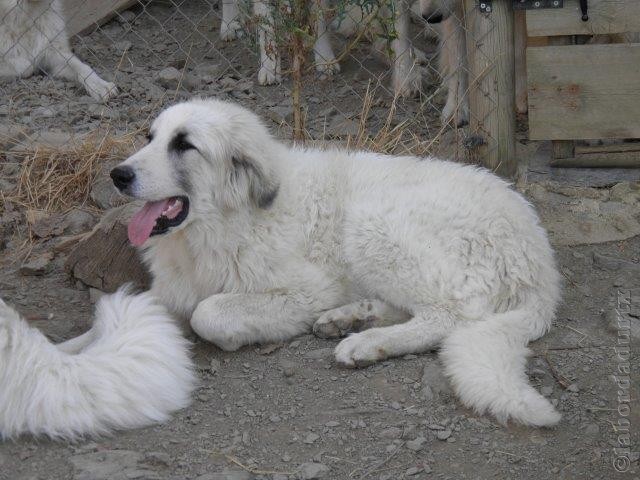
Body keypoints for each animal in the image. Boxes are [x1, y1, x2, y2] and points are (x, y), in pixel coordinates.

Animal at [111, 98, 564, 428]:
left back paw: (365, 342)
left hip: (372, 223)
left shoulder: (308, 289)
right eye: (150, 137)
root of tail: (540, 264)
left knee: (448, 316)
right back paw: (352, 318)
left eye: (184, 145)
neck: (225, 221)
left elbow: (208, 312)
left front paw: (226, 334)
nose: (117, 174)